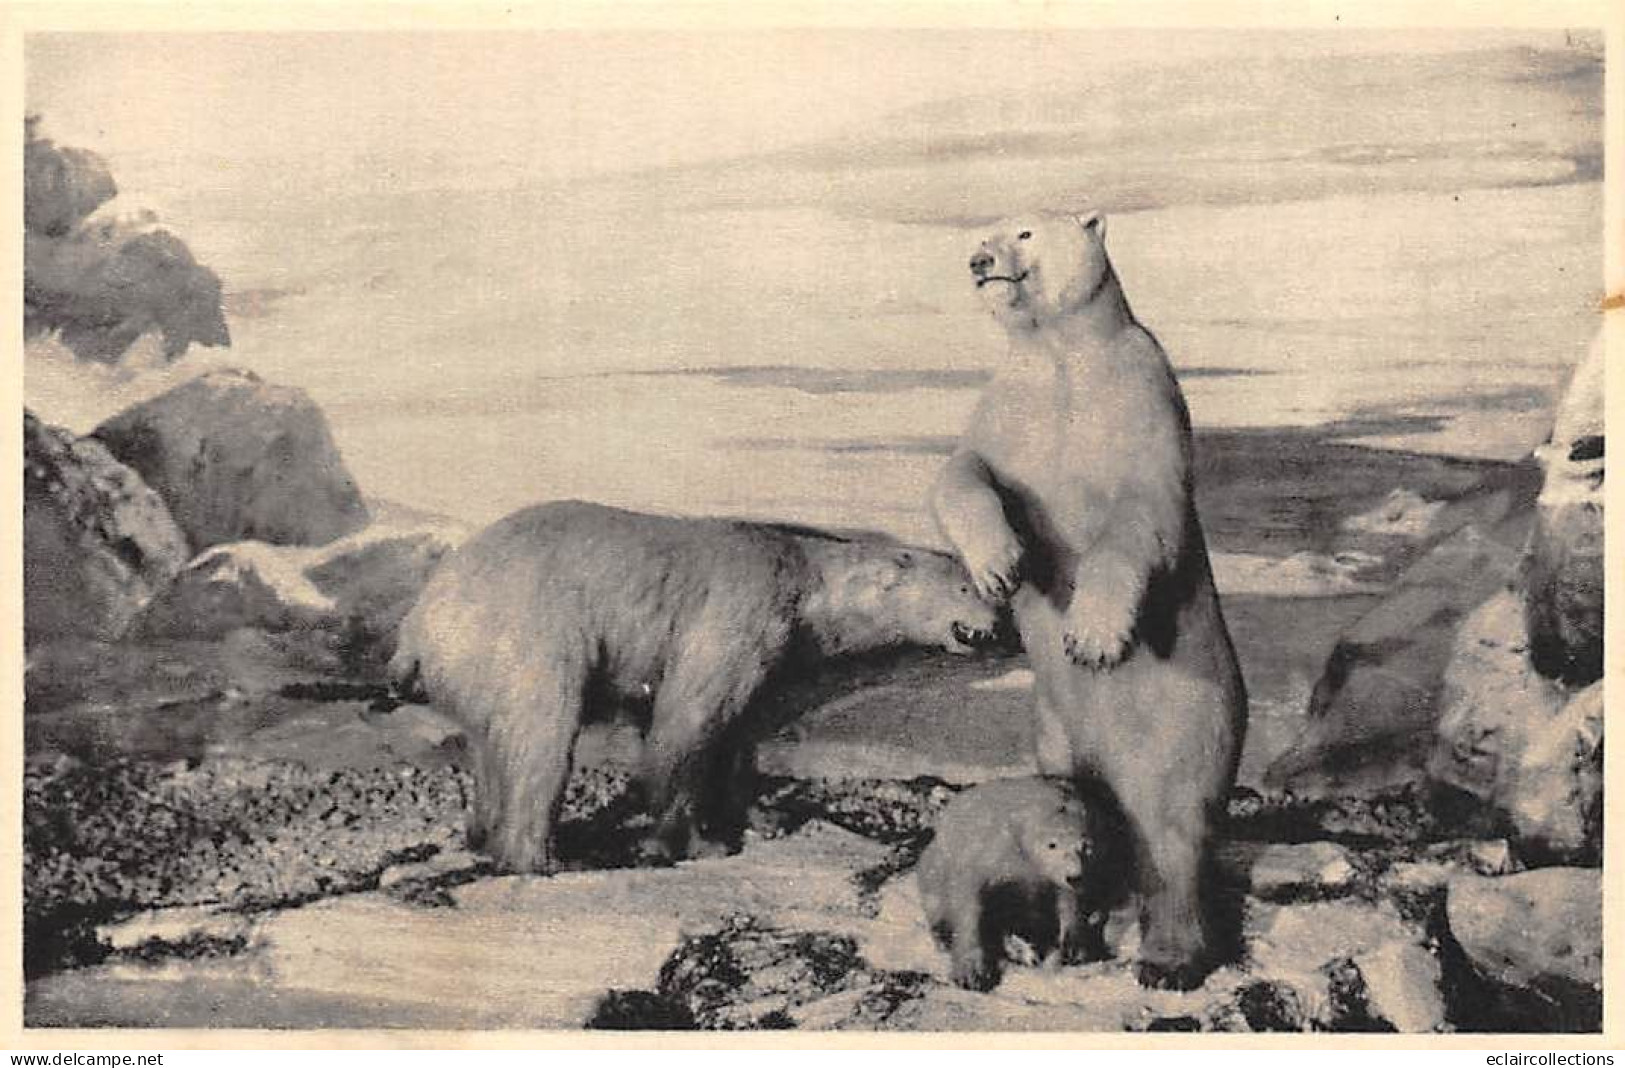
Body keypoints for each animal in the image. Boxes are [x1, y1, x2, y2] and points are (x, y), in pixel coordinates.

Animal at [936, 209, 1248, 988]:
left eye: (1023, 231)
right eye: (982, 228)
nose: (978, 260)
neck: (1060, 357)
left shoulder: (1140, 401)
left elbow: (1140, 522)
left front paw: (1093, 639)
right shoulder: (1008, 406)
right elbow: (962, 472)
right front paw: (998, 574)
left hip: (1188, 720)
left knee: (1170, 831)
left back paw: (1169, 957)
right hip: (1052, 733)